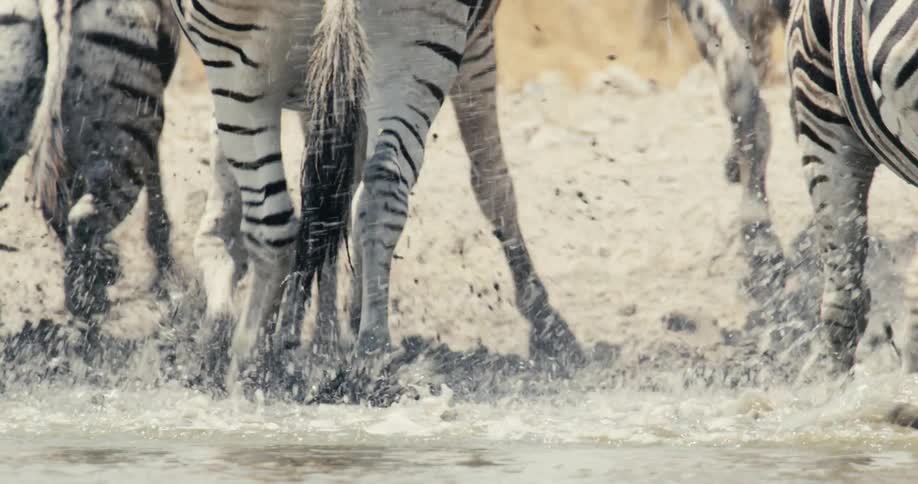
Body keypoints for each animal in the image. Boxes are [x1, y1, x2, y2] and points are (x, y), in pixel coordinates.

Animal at [170, 0, 585, 374]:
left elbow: (326, 209)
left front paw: (315, 333)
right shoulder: (475, 45)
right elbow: (492, 185)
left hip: (249, 61)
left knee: (323, 208)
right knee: (371, 188)